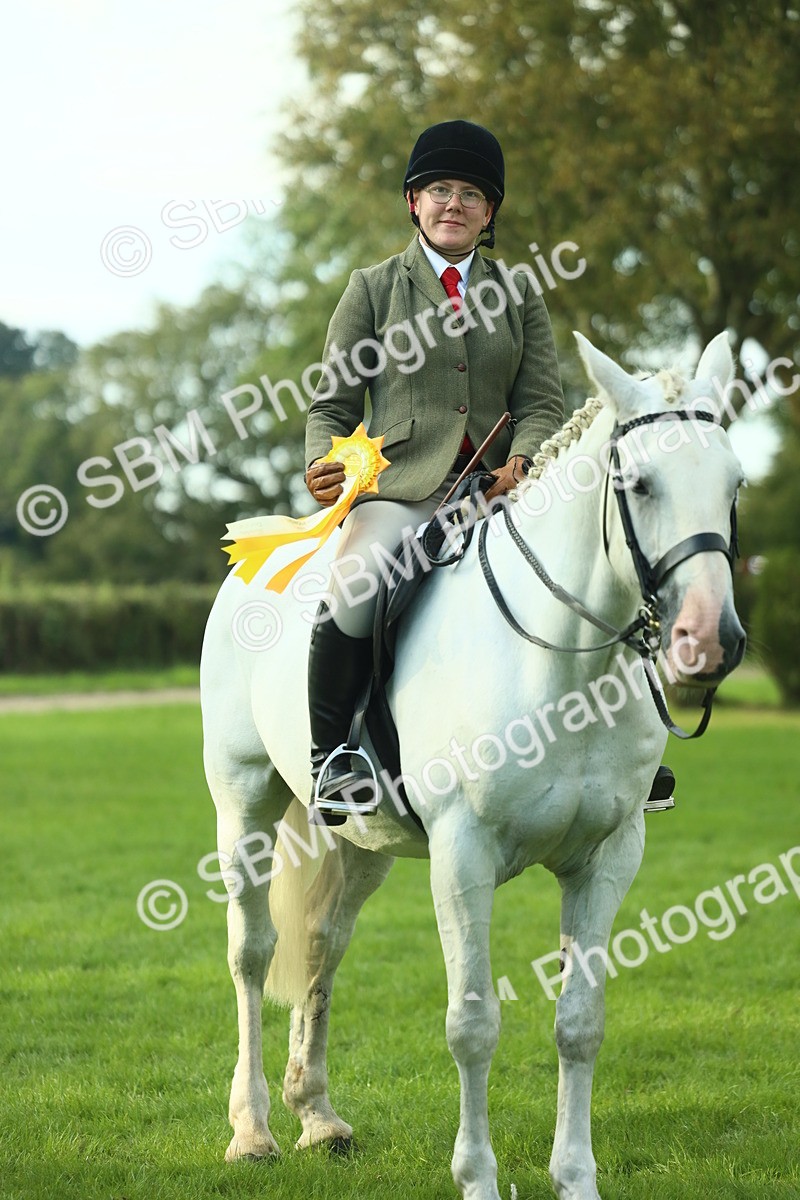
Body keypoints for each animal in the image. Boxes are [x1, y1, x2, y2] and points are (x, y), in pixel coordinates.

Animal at [199, 331, 746, 1200]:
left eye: (735, 484)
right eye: (638, 484)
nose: (709, 640)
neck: (564, 660)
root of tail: (270, 542)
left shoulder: (609, 858)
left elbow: (580, 1023)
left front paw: (576, 1177)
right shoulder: (464, 857)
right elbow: (473, 1024)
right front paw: (479, 1178)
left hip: (360, 841)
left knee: (321, 945)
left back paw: (317, 1117)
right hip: (244, 806)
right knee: (252, 953)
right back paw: (252, 1131)